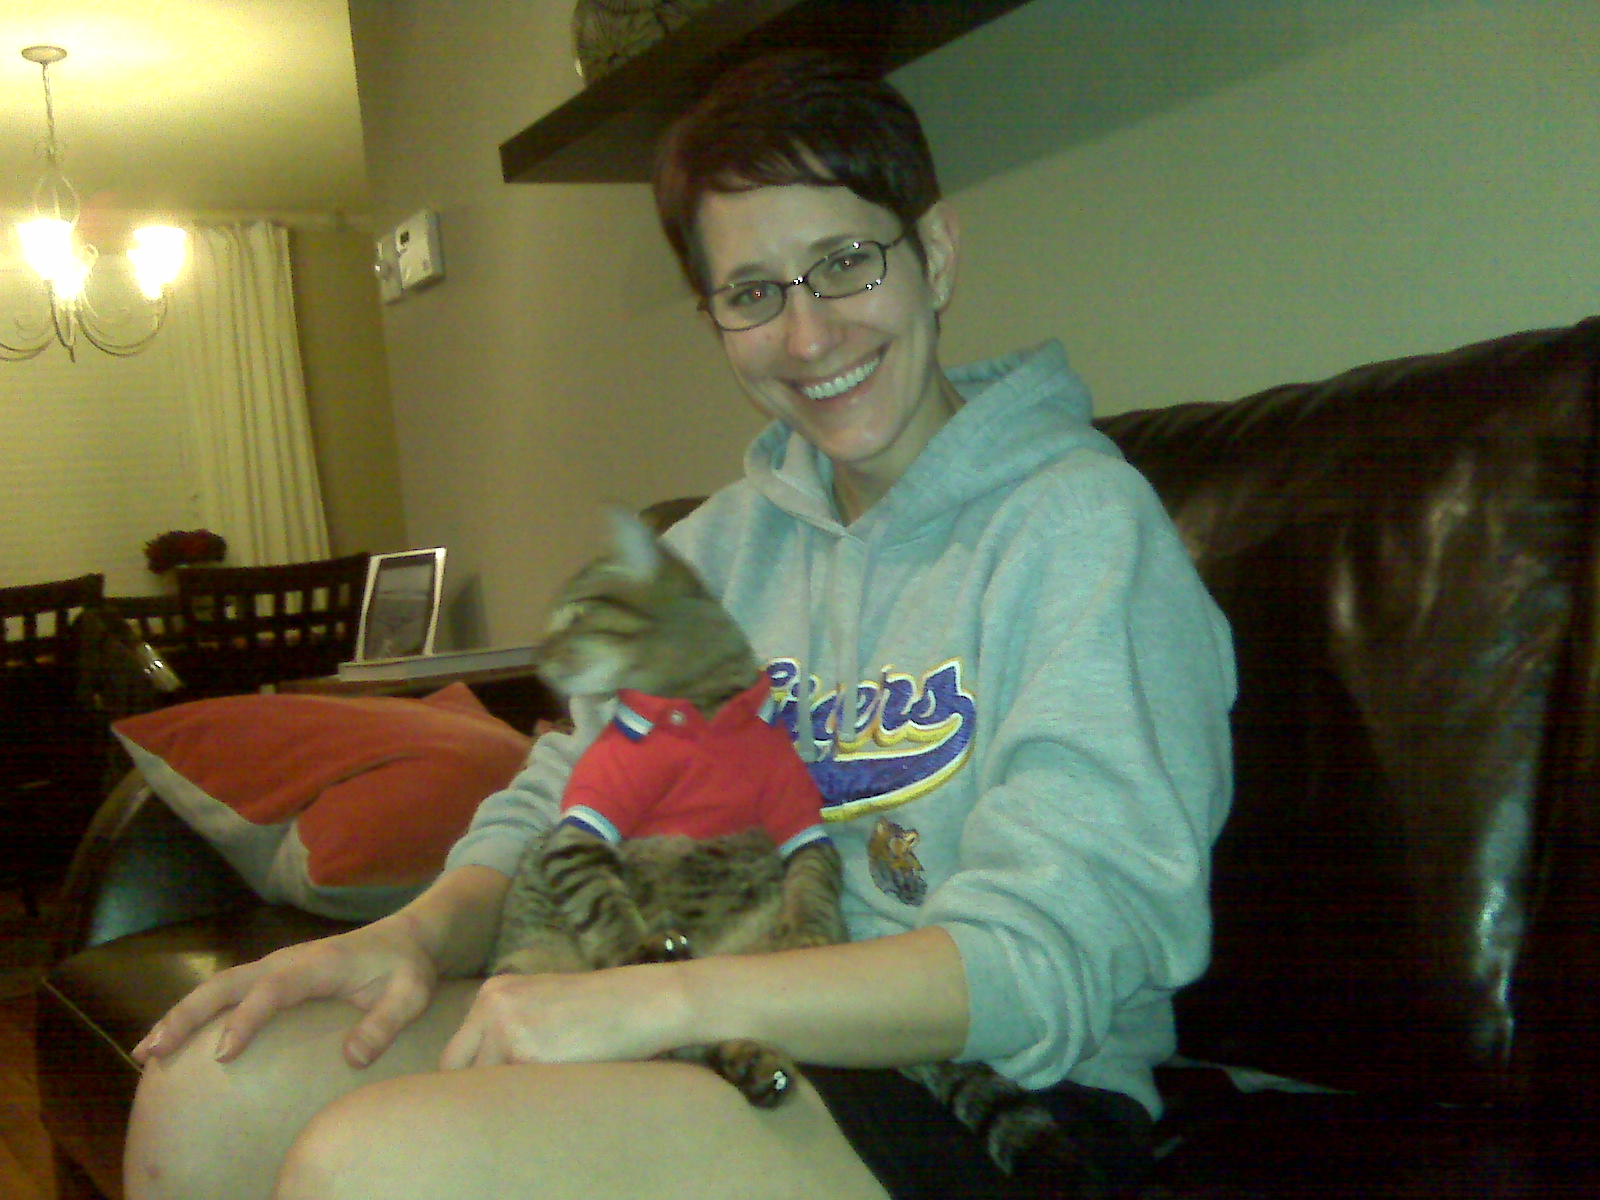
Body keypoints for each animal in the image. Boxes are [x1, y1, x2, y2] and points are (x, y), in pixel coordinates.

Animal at [489, 509, 1108, 1192]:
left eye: (575, 617)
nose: (538, 661)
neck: (705, 708)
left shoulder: (795, 815)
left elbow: (813, 874)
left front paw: (810, 931)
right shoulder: (580, 830)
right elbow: (605, 906)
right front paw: (640, 949)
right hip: (539, 958)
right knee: (679, 1043)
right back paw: (745, 1059)